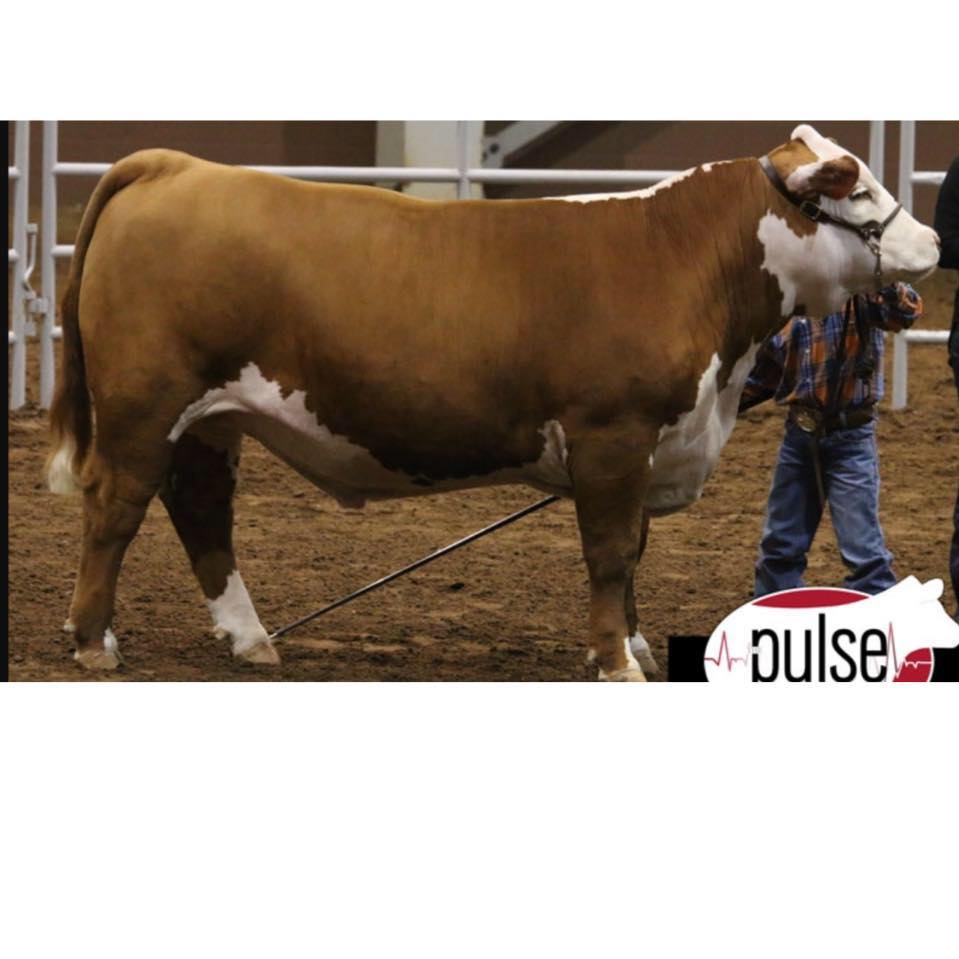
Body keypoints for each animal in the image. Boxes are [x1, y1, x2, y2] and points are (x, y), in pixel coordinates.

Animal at [45, 124, 940, 680]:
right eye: (854, 188)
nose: (930, 241)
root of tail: (179, 166)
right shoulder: (612, 434)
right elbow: (609, 552)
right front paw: (614, 660)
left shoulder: (648, 444)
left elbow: (633, 551)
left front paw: (635, 645)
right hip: (144, 405)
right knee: (114, 506)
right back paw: (93, 642)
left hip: (213, 419)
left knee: (199, 508)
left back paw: (250, 639)